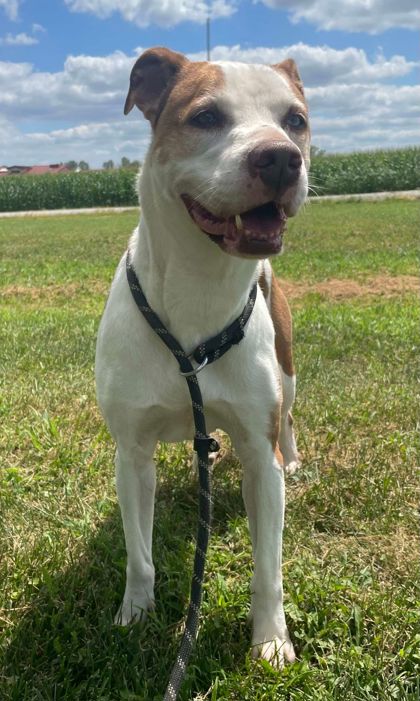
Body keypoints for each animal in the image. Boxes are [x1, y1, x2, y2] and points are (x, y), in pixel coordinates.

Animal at [97, 47, 310, 668]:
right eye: (207, 117)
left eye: (295, 120)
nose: (280, 158)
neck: (200, 289)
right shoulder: (132, 452)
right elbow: (139, 553)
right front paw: (134, 615)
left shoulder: (259, 458)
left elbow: (269, 569)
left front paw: (271, 639)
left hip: (288, 370)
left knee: (289, 414)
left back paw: (294, 456)